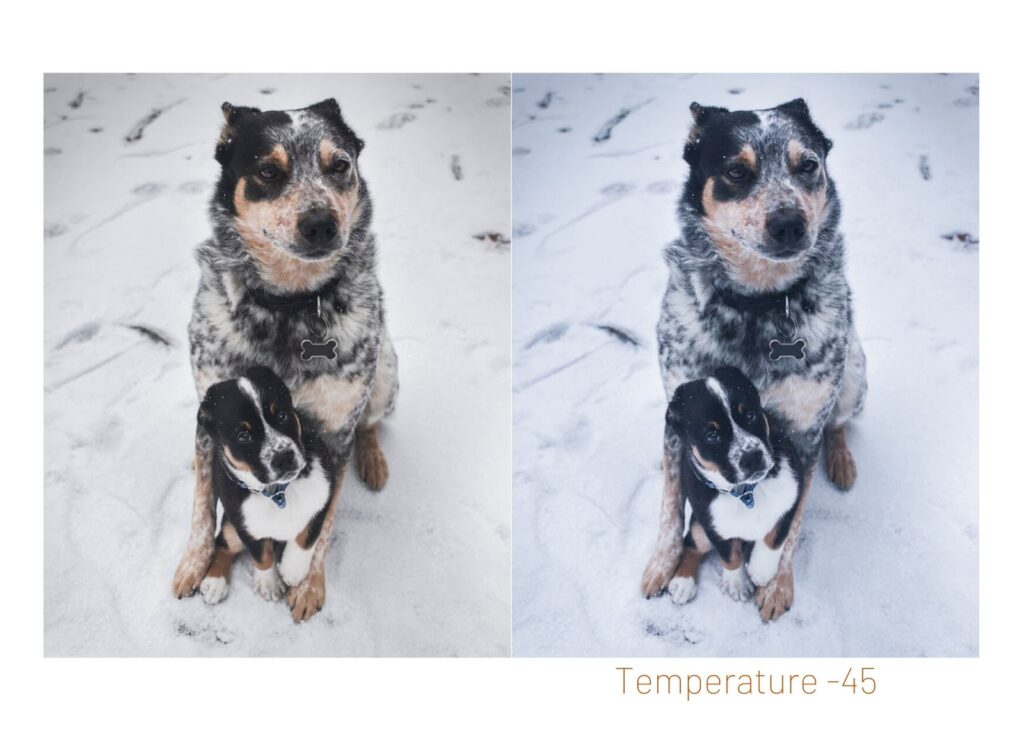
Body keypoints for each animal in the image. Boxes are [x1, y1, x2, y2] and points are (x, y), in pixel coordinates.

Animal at [192, 362, 335, 606]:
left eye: (282, 415)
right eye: (243, 435)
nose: (284, 457)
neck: (279, 492)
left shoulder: (322, 501)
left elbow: (306, 538)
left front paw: (293, 570)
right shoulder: (246, 526)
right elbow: (262, 556)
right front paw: (269, 583)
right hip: (231, 525)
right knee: (223, 542)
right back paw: (215, 582)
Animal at [663, 370, 806, 614]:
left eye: (750, 415)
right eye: (712, 436)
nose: (752, 457)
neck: (747, 492)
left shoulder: (791, 499)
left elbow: (774, 537)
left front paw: (761, 570)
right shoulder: (713, 524)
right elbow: (729, 556)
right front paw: (737, 583)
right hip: (699, 526)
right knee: (691, 543)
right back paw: (683, 582)